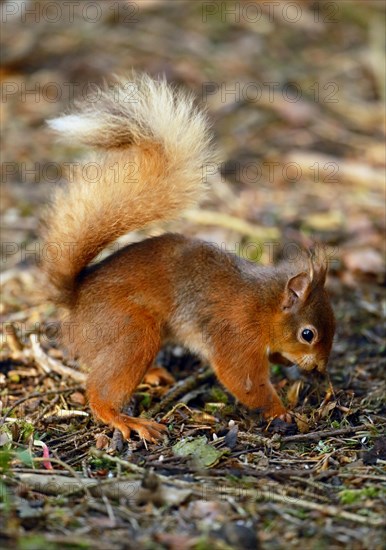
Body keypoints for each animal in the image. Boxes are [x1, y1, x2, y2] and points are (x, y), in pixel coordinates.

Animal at [40, 73, 334, 444]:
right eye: (308, 334)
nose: (321, 369)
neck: (263, 305)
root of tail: (74, 300)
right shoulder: (237, 334)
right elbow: (244, 380)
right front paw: (282, 411)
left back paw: (154, 375)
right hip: (133, 330)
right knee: (98, 390)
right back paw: (125, 419)